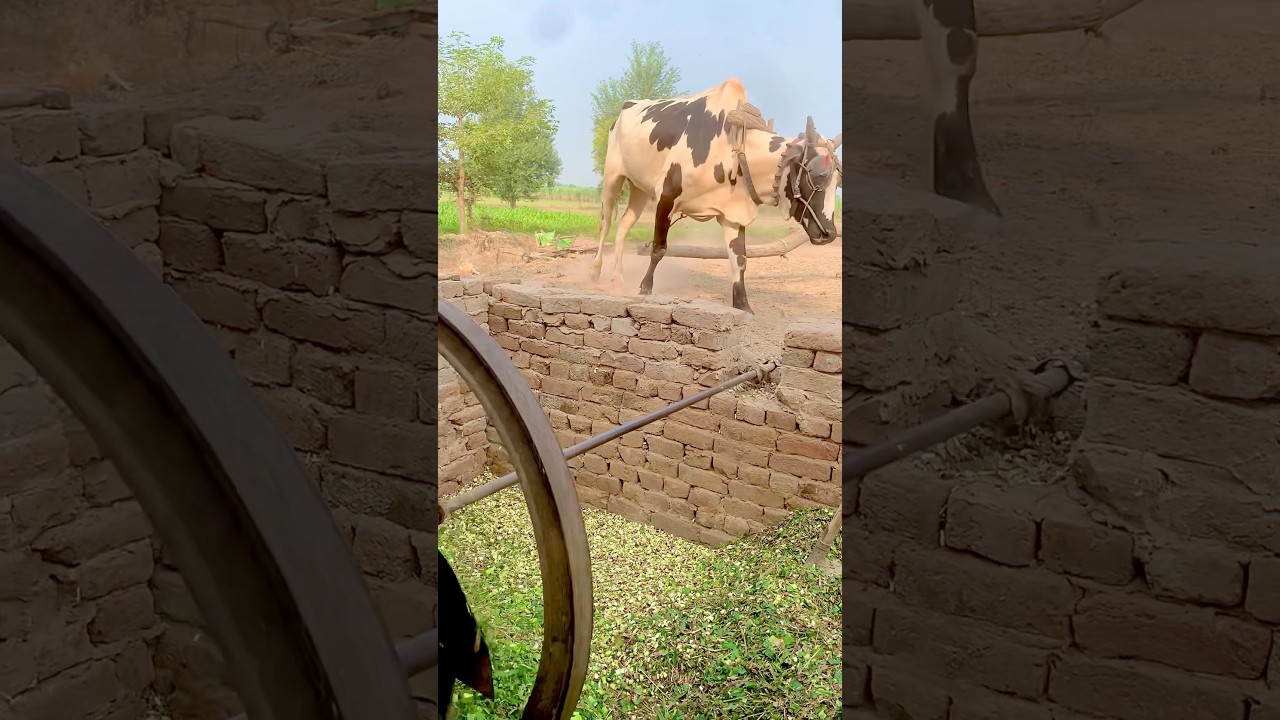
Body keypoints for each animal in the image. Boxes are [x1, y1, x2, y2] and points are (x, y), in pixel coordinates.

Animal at [590, 78, 842, 317]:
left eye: (837, 182)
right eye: (819, 174)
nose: (829, 233)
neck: (732, 148)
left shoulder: (733, 215)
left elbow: (739, 260)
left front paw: (743, 305)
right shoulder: (666, 198)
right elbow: (659, 248)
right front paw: (645, 288)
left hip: (640, 189)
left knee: (623, 226)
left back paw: (617, 278)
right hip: (613, 177)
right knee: (605, 224)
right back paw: (595, 272)